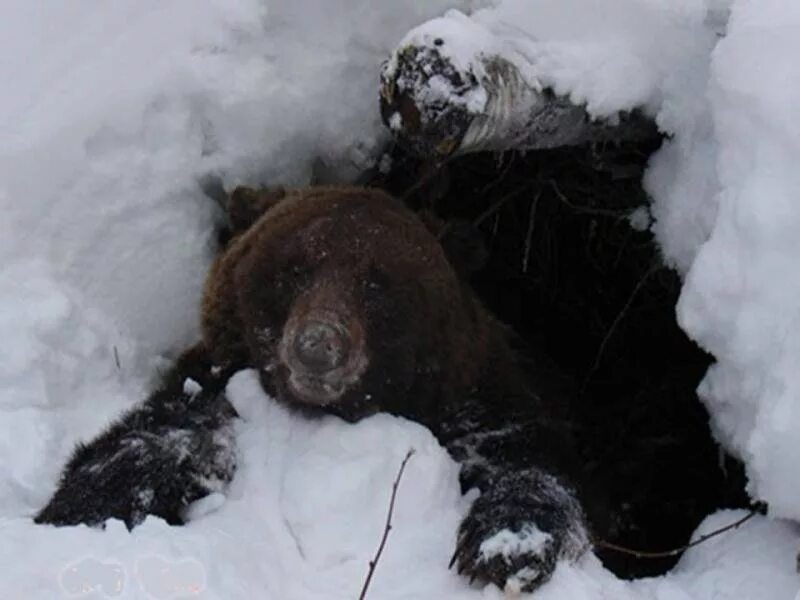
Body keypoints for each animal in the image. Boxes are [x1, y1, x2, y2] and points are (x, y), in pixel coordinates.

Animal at [34, 185, 592, 592]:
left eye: (377, 280)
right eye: (294, 268)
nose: (318, 345)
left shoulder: (479, 401)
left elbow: (524, 461)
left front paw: (507, 547)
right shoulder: (217, 383)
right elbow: (159, 438)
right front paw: (81, 506)